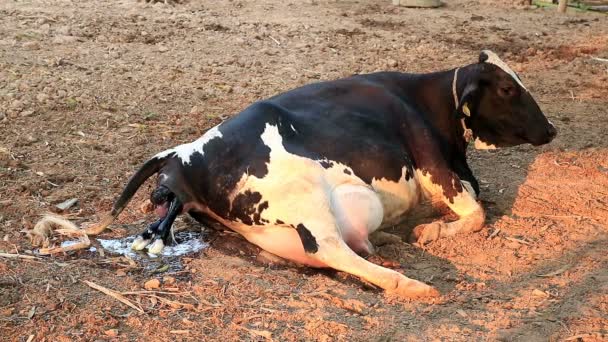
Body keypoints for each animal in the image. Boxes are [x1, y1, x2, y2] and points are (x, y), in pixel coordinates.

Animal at [84, 50, 556, 300]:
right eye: (508, 89)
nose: (551, 129)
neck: (425, 102)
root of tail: (182, 156)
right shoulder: (433, 166)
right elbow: (476, 212)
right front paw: (432, 232)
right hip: (308, 197)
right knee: (330, 249)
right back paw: (407, 283)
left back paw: (386, 245)